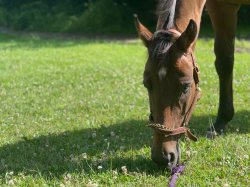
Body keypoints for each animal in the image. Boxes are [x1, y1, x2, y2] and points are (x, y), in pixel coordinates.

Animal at [136, 0, 249, 169]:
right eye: (146, 84)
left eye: (186, 86)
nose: (162, 157)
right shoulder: (221, 6)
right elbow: (224, 60)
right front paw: (220, 123)